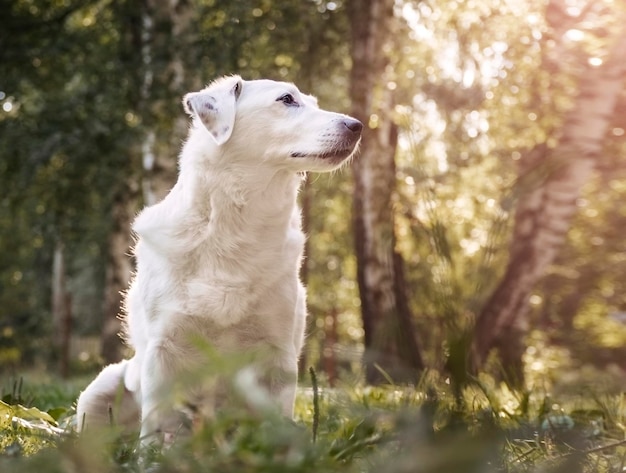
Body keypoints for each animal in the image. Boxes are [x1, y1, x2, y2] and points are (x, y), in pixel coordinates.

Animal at [76, 74, 360, 442]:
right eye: (287, 99)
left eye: (313, 102)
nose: (358, 125)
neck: (234, 229)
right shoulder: (162, 351)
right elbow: (154, 422)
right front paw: (150, 452)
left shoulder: (279, 355)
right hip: (100, 390)